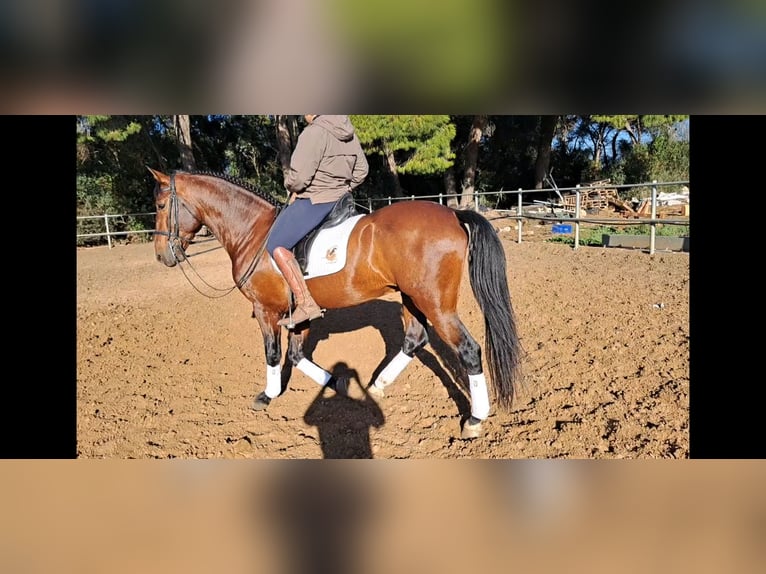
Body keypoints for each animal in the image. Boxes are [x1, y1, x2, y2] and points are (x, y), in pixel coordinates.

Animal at [148, 169, 520, 438]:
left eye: (161, 206)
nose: (161, 255)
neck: (253, 231)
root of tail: (454, 214)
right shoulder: (298, 314)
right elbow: (296, 356)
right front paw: (336, 382)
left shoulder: (266, 311)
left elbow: (273, 354)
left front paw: (268, 395)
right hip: (411, 298)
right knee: (415, 339)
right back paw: (378, 386)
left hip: (436, 305)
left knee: (468, 350)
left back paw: (474, 419)